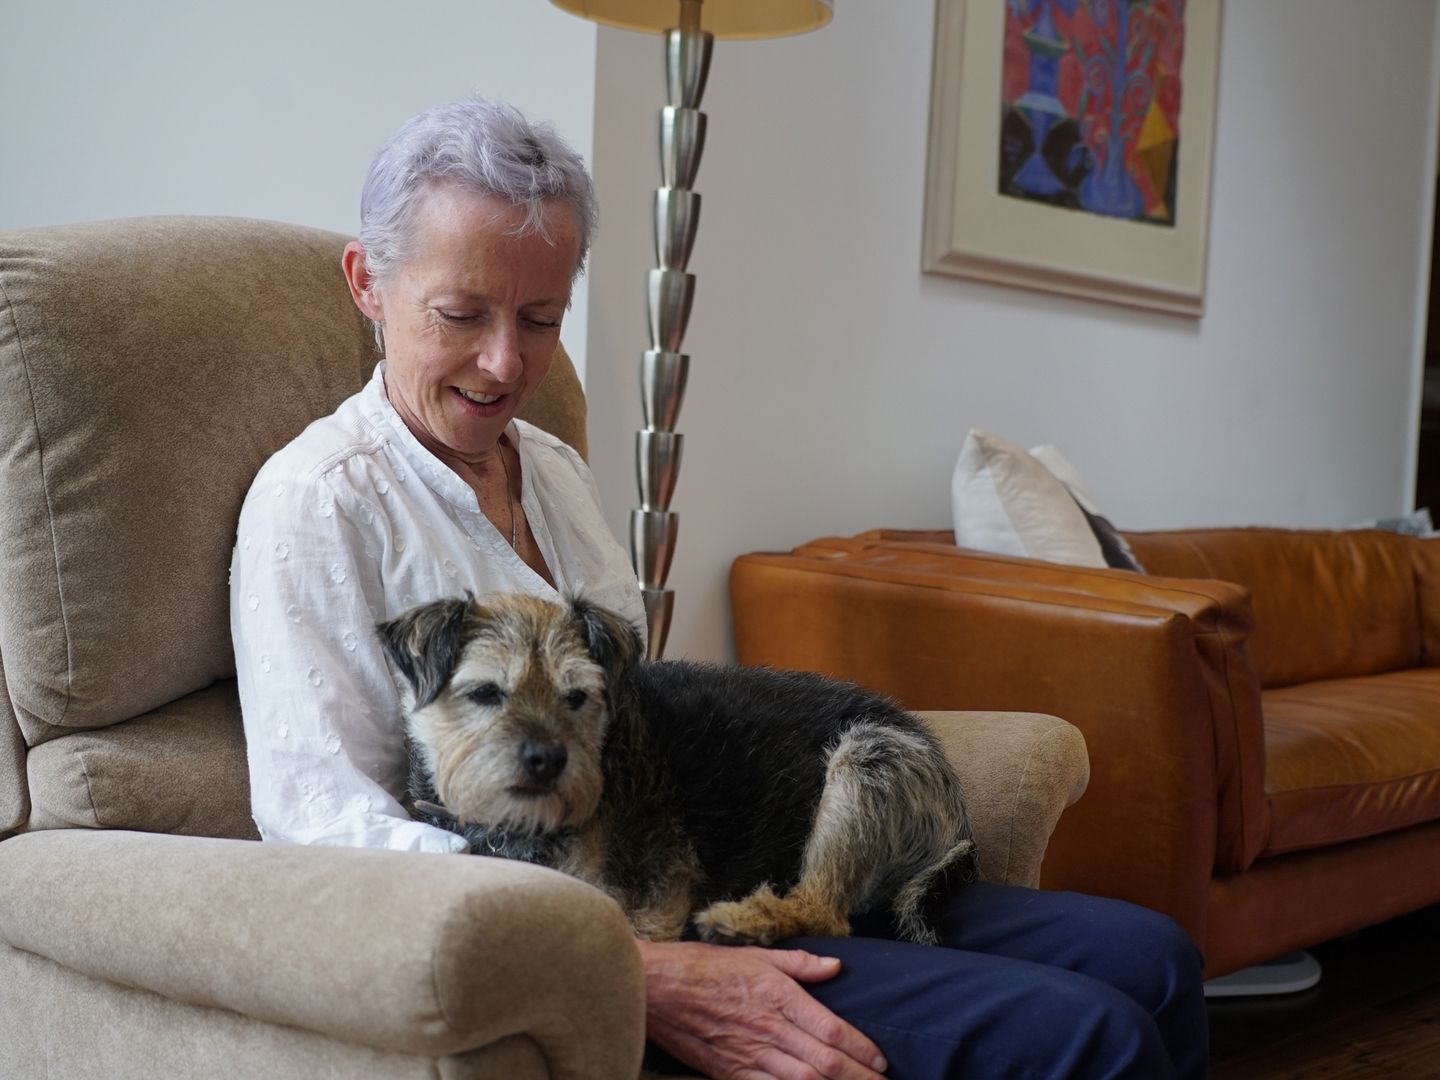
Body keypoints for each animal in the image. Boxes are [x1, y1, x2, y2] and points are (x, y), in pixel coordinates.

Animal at [377, 593, 979, 944]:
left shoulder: (652, 903)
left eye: (577, 697)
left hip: (869, 759)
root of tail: (958, 820)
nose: (548, 760)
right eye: (485, 693)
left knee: (824, 911)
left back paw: (740, 920)